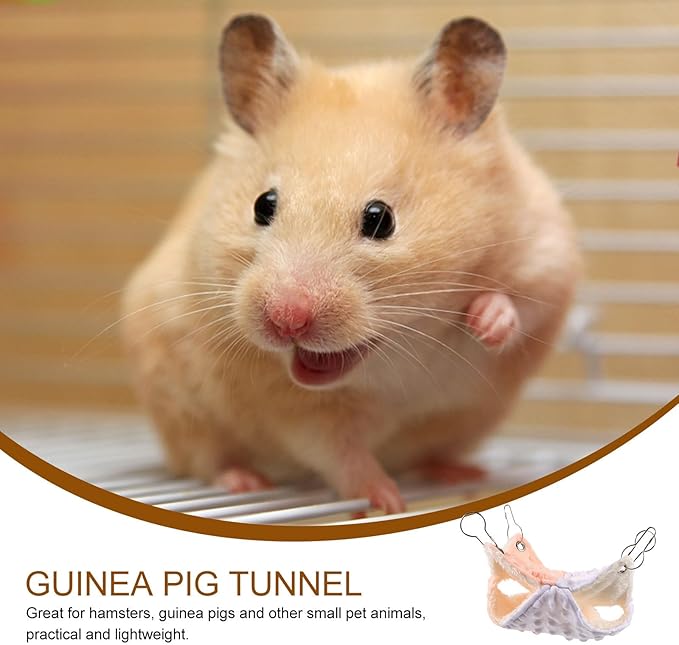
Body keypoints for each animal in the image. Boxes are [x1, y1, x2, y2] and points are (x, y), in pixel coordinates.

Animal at [121, 15, 580, 514]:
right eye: (263, 205)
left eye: (380, 218)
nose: (285, 320)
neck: (400, 350)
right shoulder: (302, 411)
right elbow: (342, 455)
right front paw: (388, 502)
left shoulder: (547, 257)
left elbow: (522, 303)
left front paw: (486, 322)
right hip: (181, 410)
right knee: (205, 460)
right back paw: (246, 481)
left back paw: (461, 471)